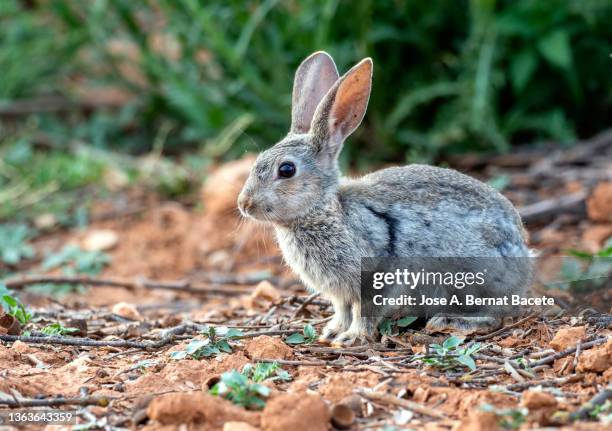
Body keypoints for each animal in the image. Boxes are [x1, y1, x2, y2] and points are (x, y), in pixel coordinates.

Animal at [237, 52, 532, 346]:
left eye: (286, 170)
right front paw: (332, 332)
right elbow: (342, 309)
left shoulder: (376, 275)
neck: (324, 209)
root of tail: (522, 253)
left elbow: (365, 309)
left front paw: (352, 338)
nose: (244, 204)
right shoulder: (340, 293)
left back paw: (450, 321)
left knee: (494, 315)